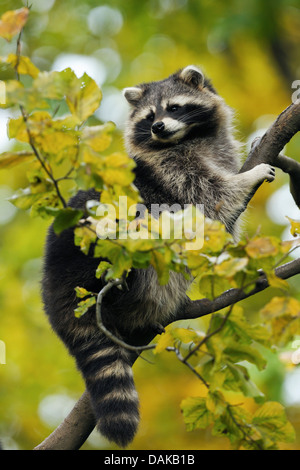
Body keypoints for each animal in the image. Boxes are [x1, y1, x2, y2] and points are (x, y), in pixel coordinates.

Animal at [41, 65, 274, 448]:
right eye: (149, 116)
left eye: (175, 108)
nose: (158, 127)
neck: (186, 140)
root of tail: (56, 288)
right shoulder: (171, 172)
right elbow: (213, 198)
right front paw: (249, 177)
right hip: (107, 260)